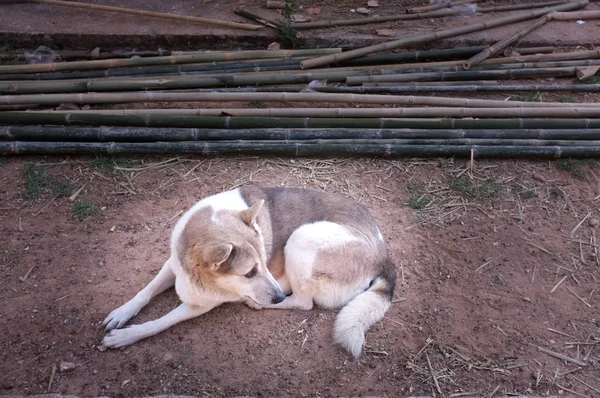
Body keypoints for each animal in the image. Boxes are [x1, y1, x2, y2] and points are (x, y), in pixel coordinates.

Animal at [102, 187, 398, 358]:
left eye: (264, 264)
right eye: (249, 273)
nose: (277, 296)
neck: (194, 271)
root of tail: (384, 255)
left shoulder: (201, 305)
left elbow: (161, 322)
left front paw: (128, 335)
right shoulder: (171, 264)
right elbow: (145, 291)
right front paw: (122, 314)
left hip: (302, 237)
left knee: (304, 303)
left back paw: (261, 303)